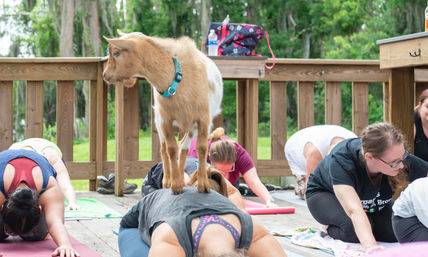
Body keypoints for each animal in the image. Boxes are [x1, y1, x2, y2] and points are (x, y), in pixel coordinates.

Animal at [103, 31, 224, 192]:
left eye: (116, 53)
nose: (105, 75)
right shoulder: (165, 120)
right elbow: (170, 149)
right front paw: (175, 185)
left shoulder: (203, 119)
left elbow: (202, 148)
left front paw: (203, 185)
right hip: (159, 121)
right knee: (164, 149)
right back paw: (168, 181)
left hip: (191, 127)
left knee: (183, 148)